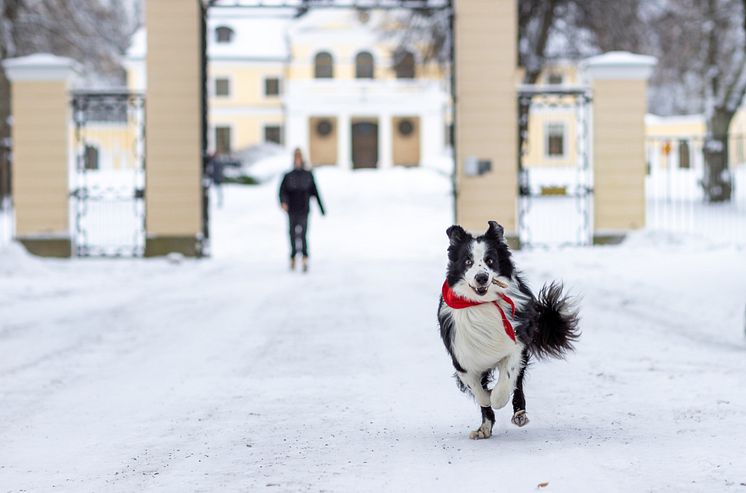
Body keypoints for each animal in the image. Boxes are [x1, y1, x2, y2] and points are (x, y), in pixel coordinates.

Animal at [436, 219, 580, 438]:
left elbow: (506, 382)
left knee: (518, 384)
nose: (481, 277)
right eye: (468, 262)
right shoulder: (462, 357)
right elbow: (478, 391)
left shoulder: (516, 345)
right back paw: (484, 427)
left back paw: (519, 414)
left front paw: (496, 397)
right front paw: (485, 402)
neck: (482, 304)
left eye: (490, 260)